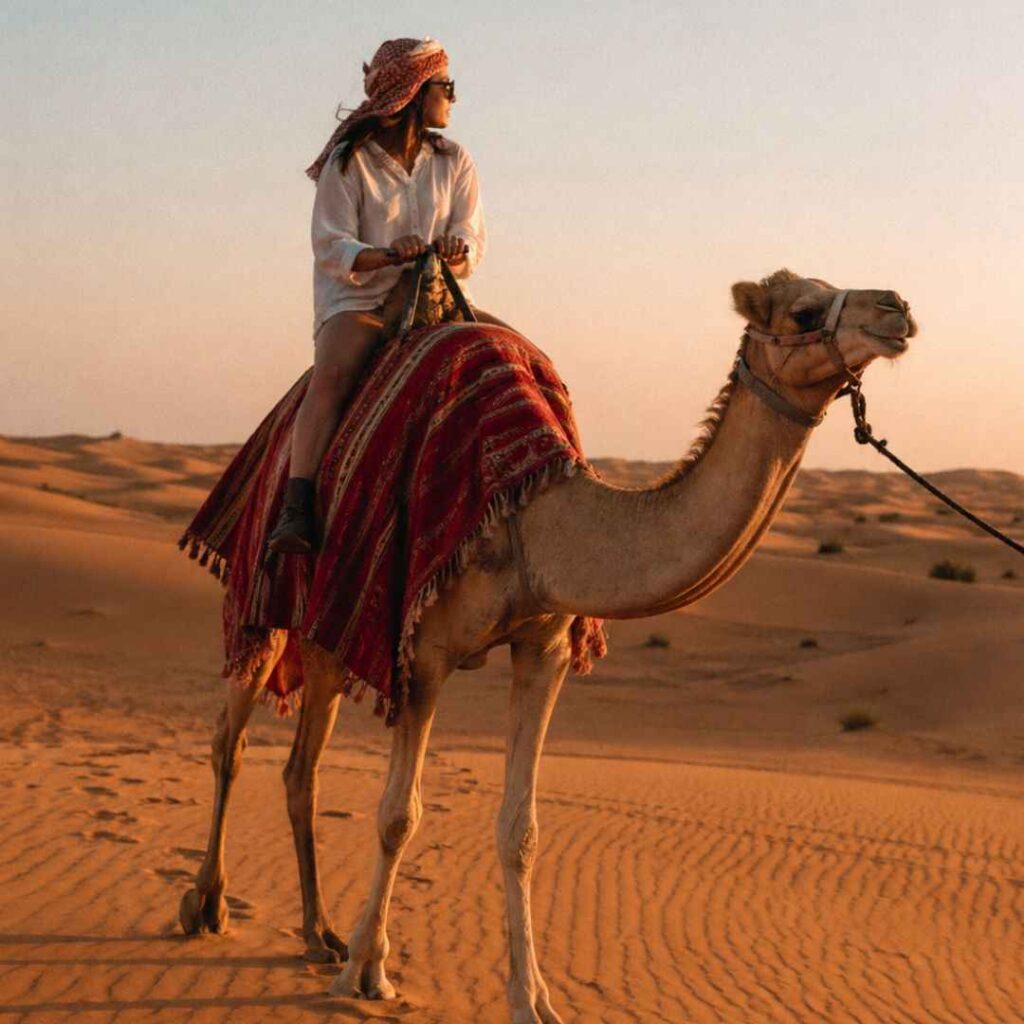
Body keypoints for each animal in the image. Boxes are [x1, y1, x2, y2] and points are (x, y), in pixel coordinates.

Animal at [179, 269, 917, 1024]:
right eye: (804, 311)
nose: (898, 308)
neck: (538, 522)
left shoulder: (545, 649)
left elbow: (520, 831)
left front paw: (530, 997)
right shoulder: (423, 653)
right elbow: (397, 815)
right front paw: (367, 970)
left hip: (329, 632)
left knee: (302, 769)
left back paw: (318, 932)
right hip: (264, 601)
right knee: (229, 738)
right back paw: (209, 905)